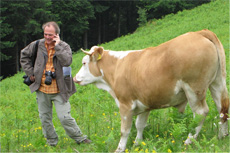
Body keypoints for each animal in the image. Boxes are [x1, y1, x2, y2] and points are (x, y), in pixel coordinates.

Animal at [73, 29, 228, 152]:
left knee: (201, 113)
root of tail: (200, 32)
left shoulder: (125, 104)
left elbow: (125, 130)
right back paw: (222, 136)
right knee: (223, 109)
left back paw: (189, 141)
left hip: (194, 89)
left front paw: (120, 148)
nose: (74, 78)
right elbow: (140, 125)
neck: (117, 67)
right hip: (217, 82)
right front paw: (137, 144)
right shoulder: (144, 103)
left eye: (84, 63)